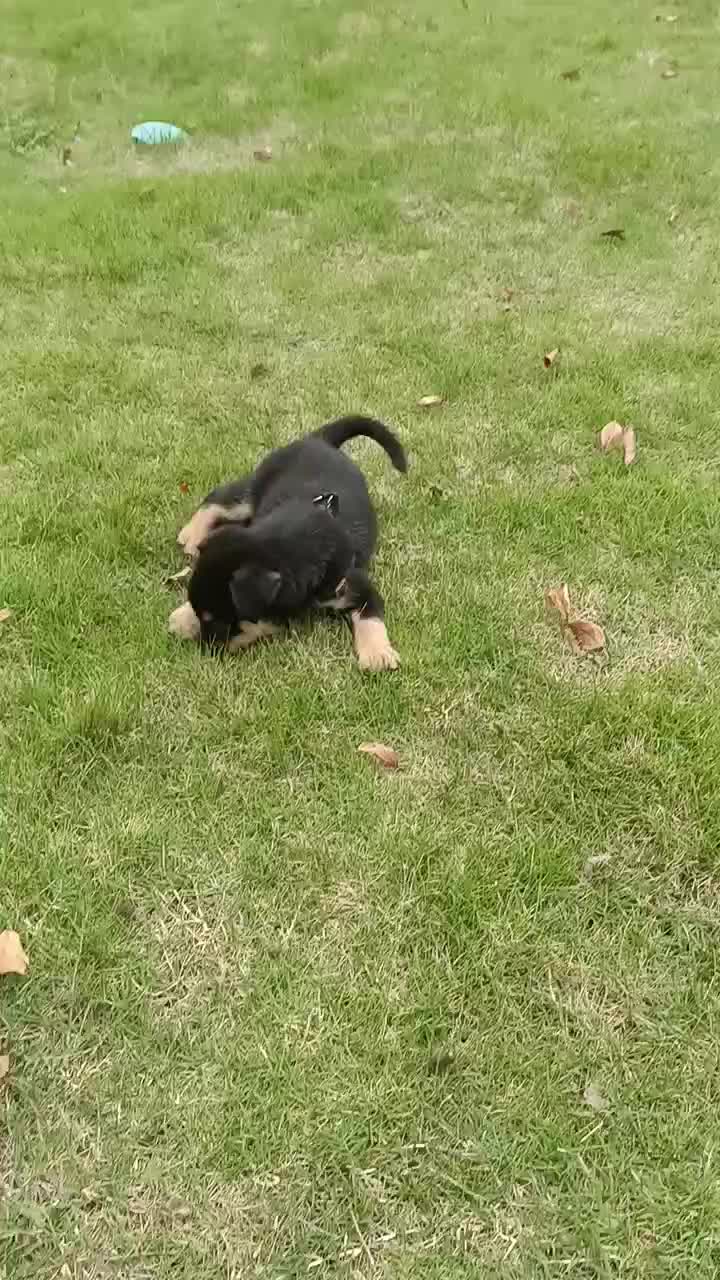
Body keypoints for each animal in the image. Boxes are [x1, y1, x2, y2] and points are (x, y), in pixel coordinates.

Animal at [167, 417, 404, 670]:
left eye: (221, 622)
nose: (207, 649)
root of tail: (318, 439)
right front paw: (183, 618)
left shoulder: (356, 585)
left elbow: (370, 616)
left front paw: (377, 655)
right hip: (253, 490)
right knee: (221, 497)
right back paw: (191, 535)